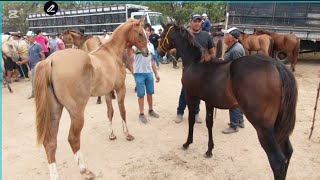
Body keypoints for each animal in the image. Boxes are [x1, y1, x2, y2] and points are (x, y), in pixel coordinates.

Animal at [34, 18, 149, 180]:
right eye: (140, 33)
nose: (147, 52)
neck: (111, 53)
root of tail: (50, 61)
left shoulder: (107, 93)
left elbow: (110, 113)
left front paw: (112, 134)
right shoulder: (120, 90)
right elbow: (122, 111)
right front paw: (127, 134)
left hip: (54, 111)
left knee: (50, 142)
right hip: (76, 113)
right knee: (73, 138)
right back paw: (85, 170)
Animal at [158, 22, 298, 180]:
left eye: (162, 35)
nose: (159, 51)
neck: (195, 63)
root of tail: (277, 66)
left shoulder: (191, 96)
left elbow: (191, 119)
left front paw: (187, 143)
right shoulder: (209, 101)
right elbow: (209, 122)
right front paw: (209, 150)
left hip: (264, 127)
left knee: (278, 160)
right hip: (279, 125)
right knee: (288, 152)